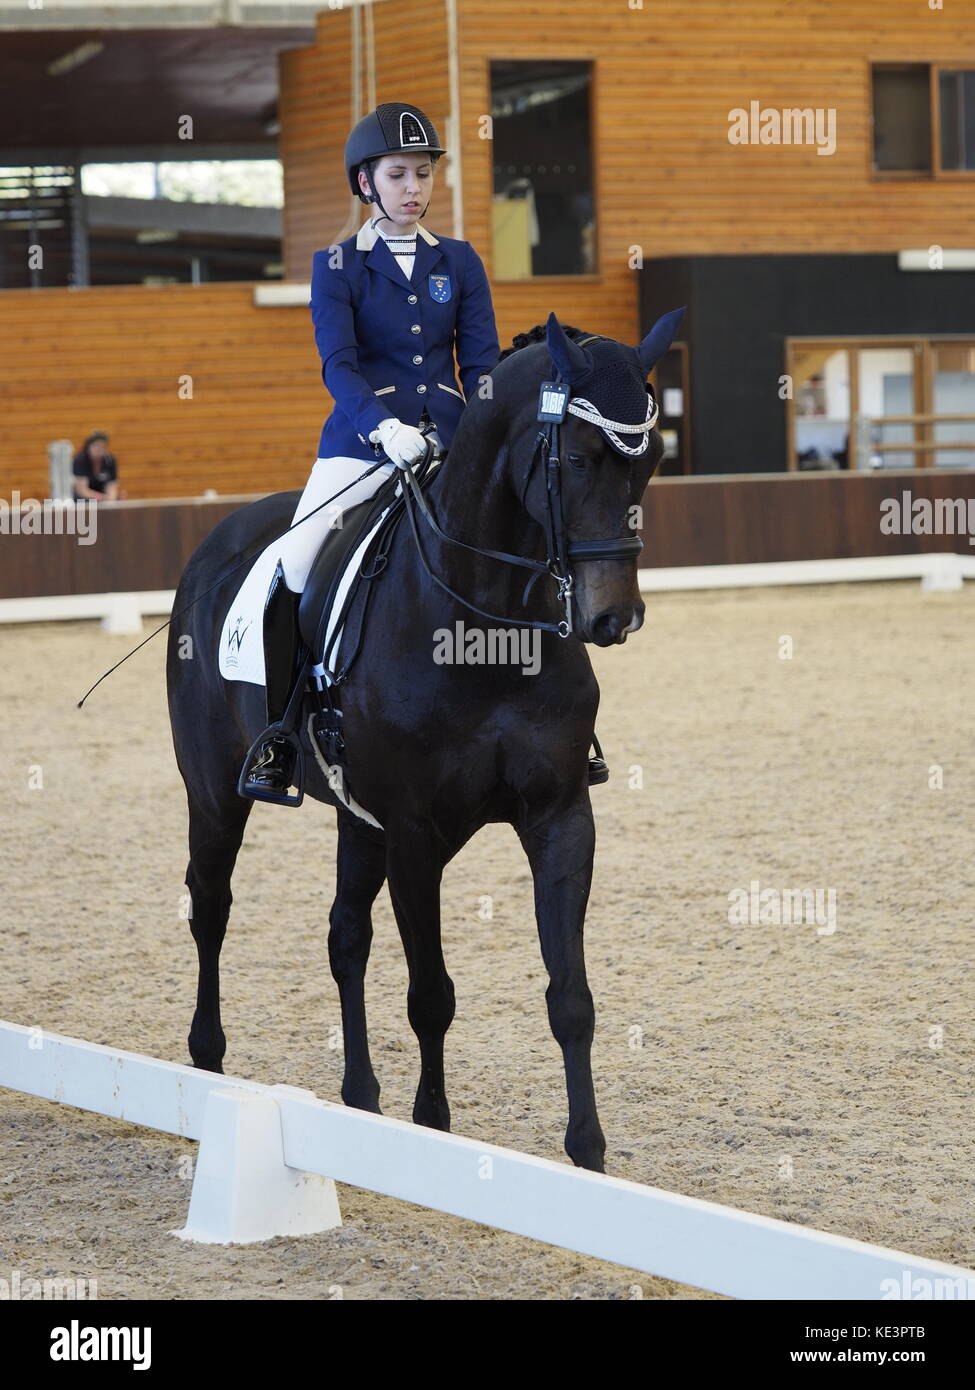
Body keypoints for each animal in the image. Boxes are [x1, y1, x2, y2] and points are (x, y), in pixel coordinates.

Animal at [167, 309, 681, 1167]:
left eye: (651, 465)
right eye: (575, 457)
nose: (613, 617)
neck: (484, 623)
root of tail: (218, 542)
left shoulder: (560, 816)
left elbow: (570, 996)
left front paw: (587, 1152)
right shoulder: (414, 832)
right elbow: (431, 995)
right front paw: (433, 1130)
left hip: (356, 819)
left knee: (345, 936)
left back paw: (359, 1096)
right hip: (212, 795)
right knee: (211, 909)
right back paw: (206, 1062)